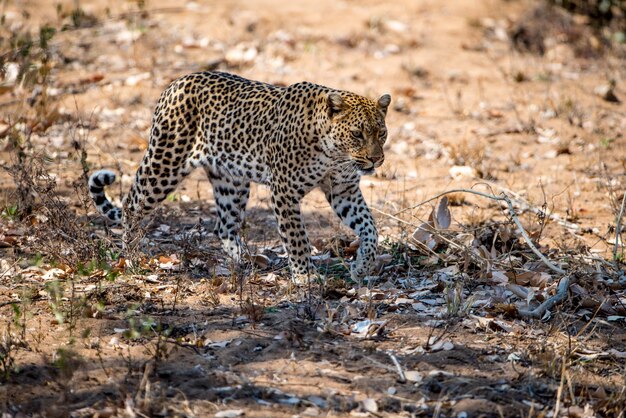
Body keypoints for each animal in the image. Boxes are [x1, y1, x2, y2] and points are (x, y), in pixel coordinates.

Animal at [89, 72, 390, 286]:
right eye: (357, 134)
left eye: (382, 133)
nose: (376, 160)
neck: (334, 154)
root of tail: (175, 84)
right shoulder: (284, 191)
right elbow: (297, 238)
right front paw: (304, 275)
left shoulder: (344, 190)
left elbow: (369, 228)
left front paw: (362, 266)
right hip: (165, 163)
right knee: (131, 205)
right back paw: (132, 259)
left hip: (231, 181)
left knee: (223, 225)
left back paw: (245, 259)